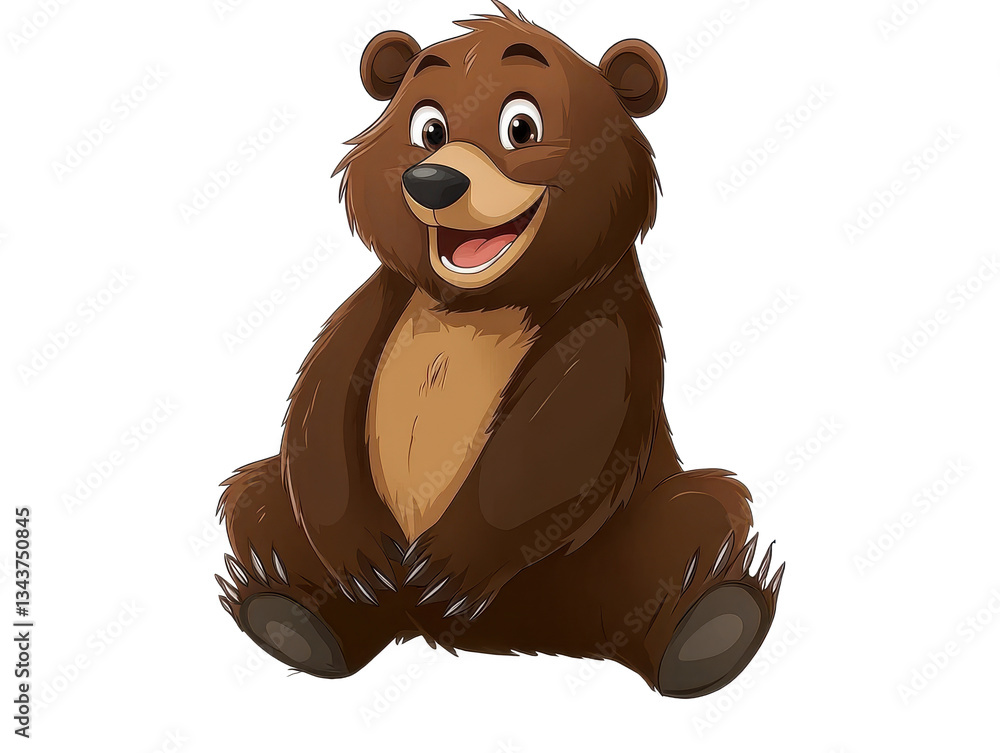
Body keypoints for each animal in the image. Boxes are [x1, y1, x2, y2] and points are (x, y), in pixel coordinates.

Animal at [215, 1, 784, 698]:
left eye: (521, 125)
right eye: (428, 126)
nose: (432, 180)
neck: (472, 307)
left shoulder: (605, 318)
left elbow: (558, 436)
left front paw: (449, 563)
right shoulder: (383, 300)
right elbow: (321, 408)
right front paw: (362, 554)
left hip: (604, 550)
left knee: (697, 515)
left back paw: (710, 629)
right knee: (258, 495)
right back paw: (293, 618)